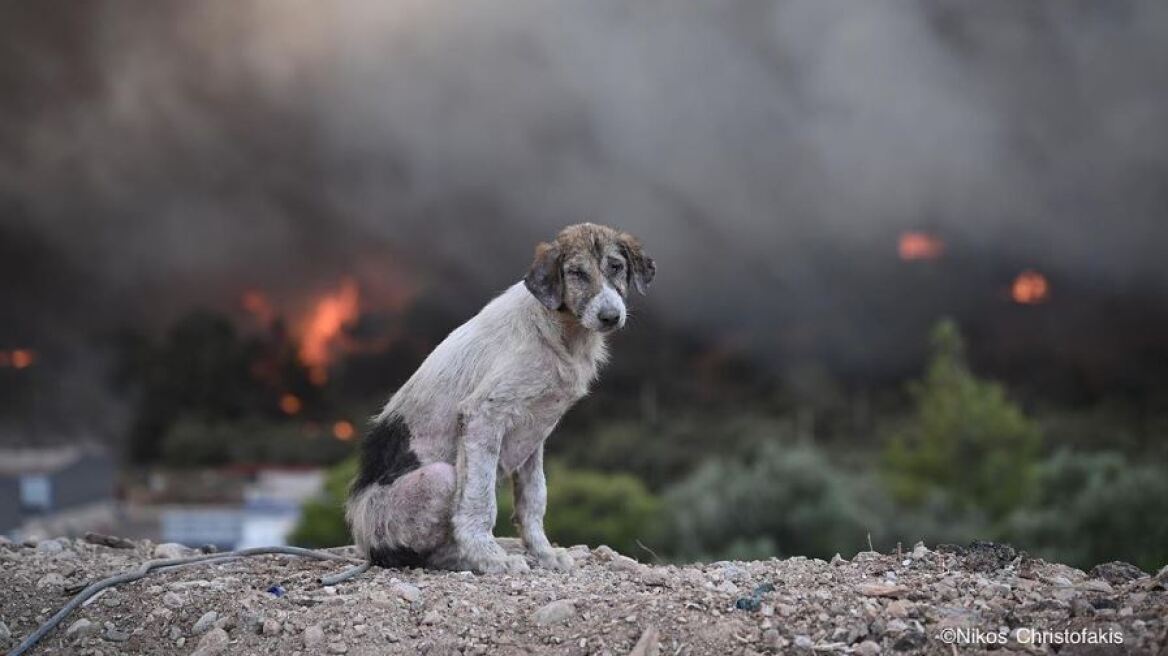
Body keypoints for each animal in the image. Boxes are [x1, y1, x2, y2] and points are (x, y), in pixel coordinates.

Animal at [345, 221, 658, 569]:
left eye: (616, 266)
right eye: (576, 273)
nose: (610, 317)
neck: (560, 331)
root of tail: (365, 544)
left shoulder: (535, 433)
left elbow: (534, 499)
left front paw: (544, 553)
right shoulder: (483, 415)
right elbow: (479, 500)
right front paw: (490, 557)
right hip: (439, 478)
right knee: (424, 553)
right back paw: (466, 559)